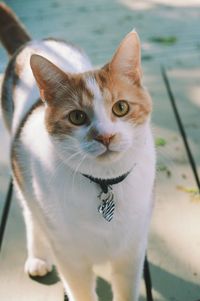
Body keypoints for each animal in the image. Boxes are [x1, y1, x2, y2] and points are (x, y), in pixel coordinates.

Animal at [0, 2, 155, 300]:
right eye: (77, 117)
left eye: (121, 107)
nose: (105, 136)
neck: (105, 182)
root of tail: (34, 42)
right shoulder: (70, 257)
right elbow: (82, 291)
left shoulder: (132, 252)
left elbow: (126, 289)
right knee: (31, 214)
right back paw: (38, 256)